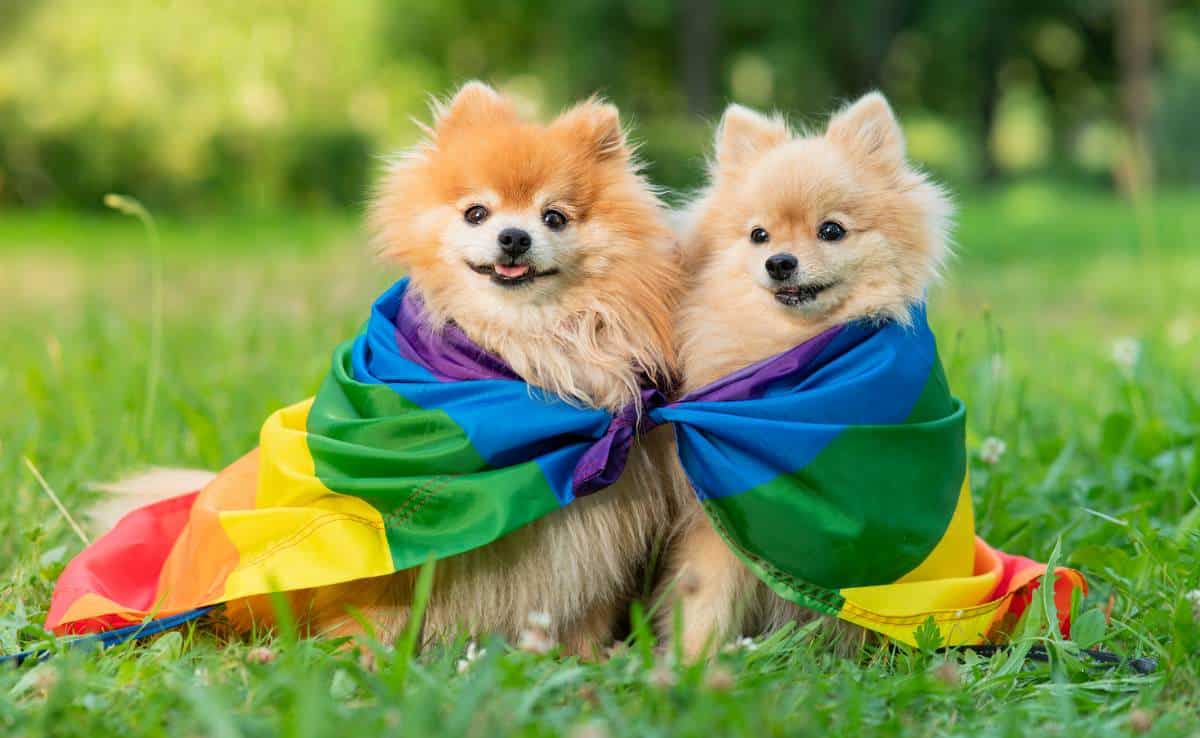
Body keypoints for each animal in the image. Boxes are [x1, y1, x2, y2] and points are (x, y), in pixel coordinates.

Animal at [100, 84, 686, 657]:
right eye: (477, 213)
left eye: (554, 217)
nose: (514, 237)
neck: (518, 353)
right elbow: (373, 617)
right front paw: (365, 662)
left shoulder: (592, 541)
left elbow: (582, 616)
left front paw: (581, 661)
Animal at [662, 91, 950, 657]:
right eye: (758, 235)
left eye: (831, 230)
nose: (779, 261)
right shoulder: (720, 517)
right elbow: (706, 598)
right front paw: (693, 661)